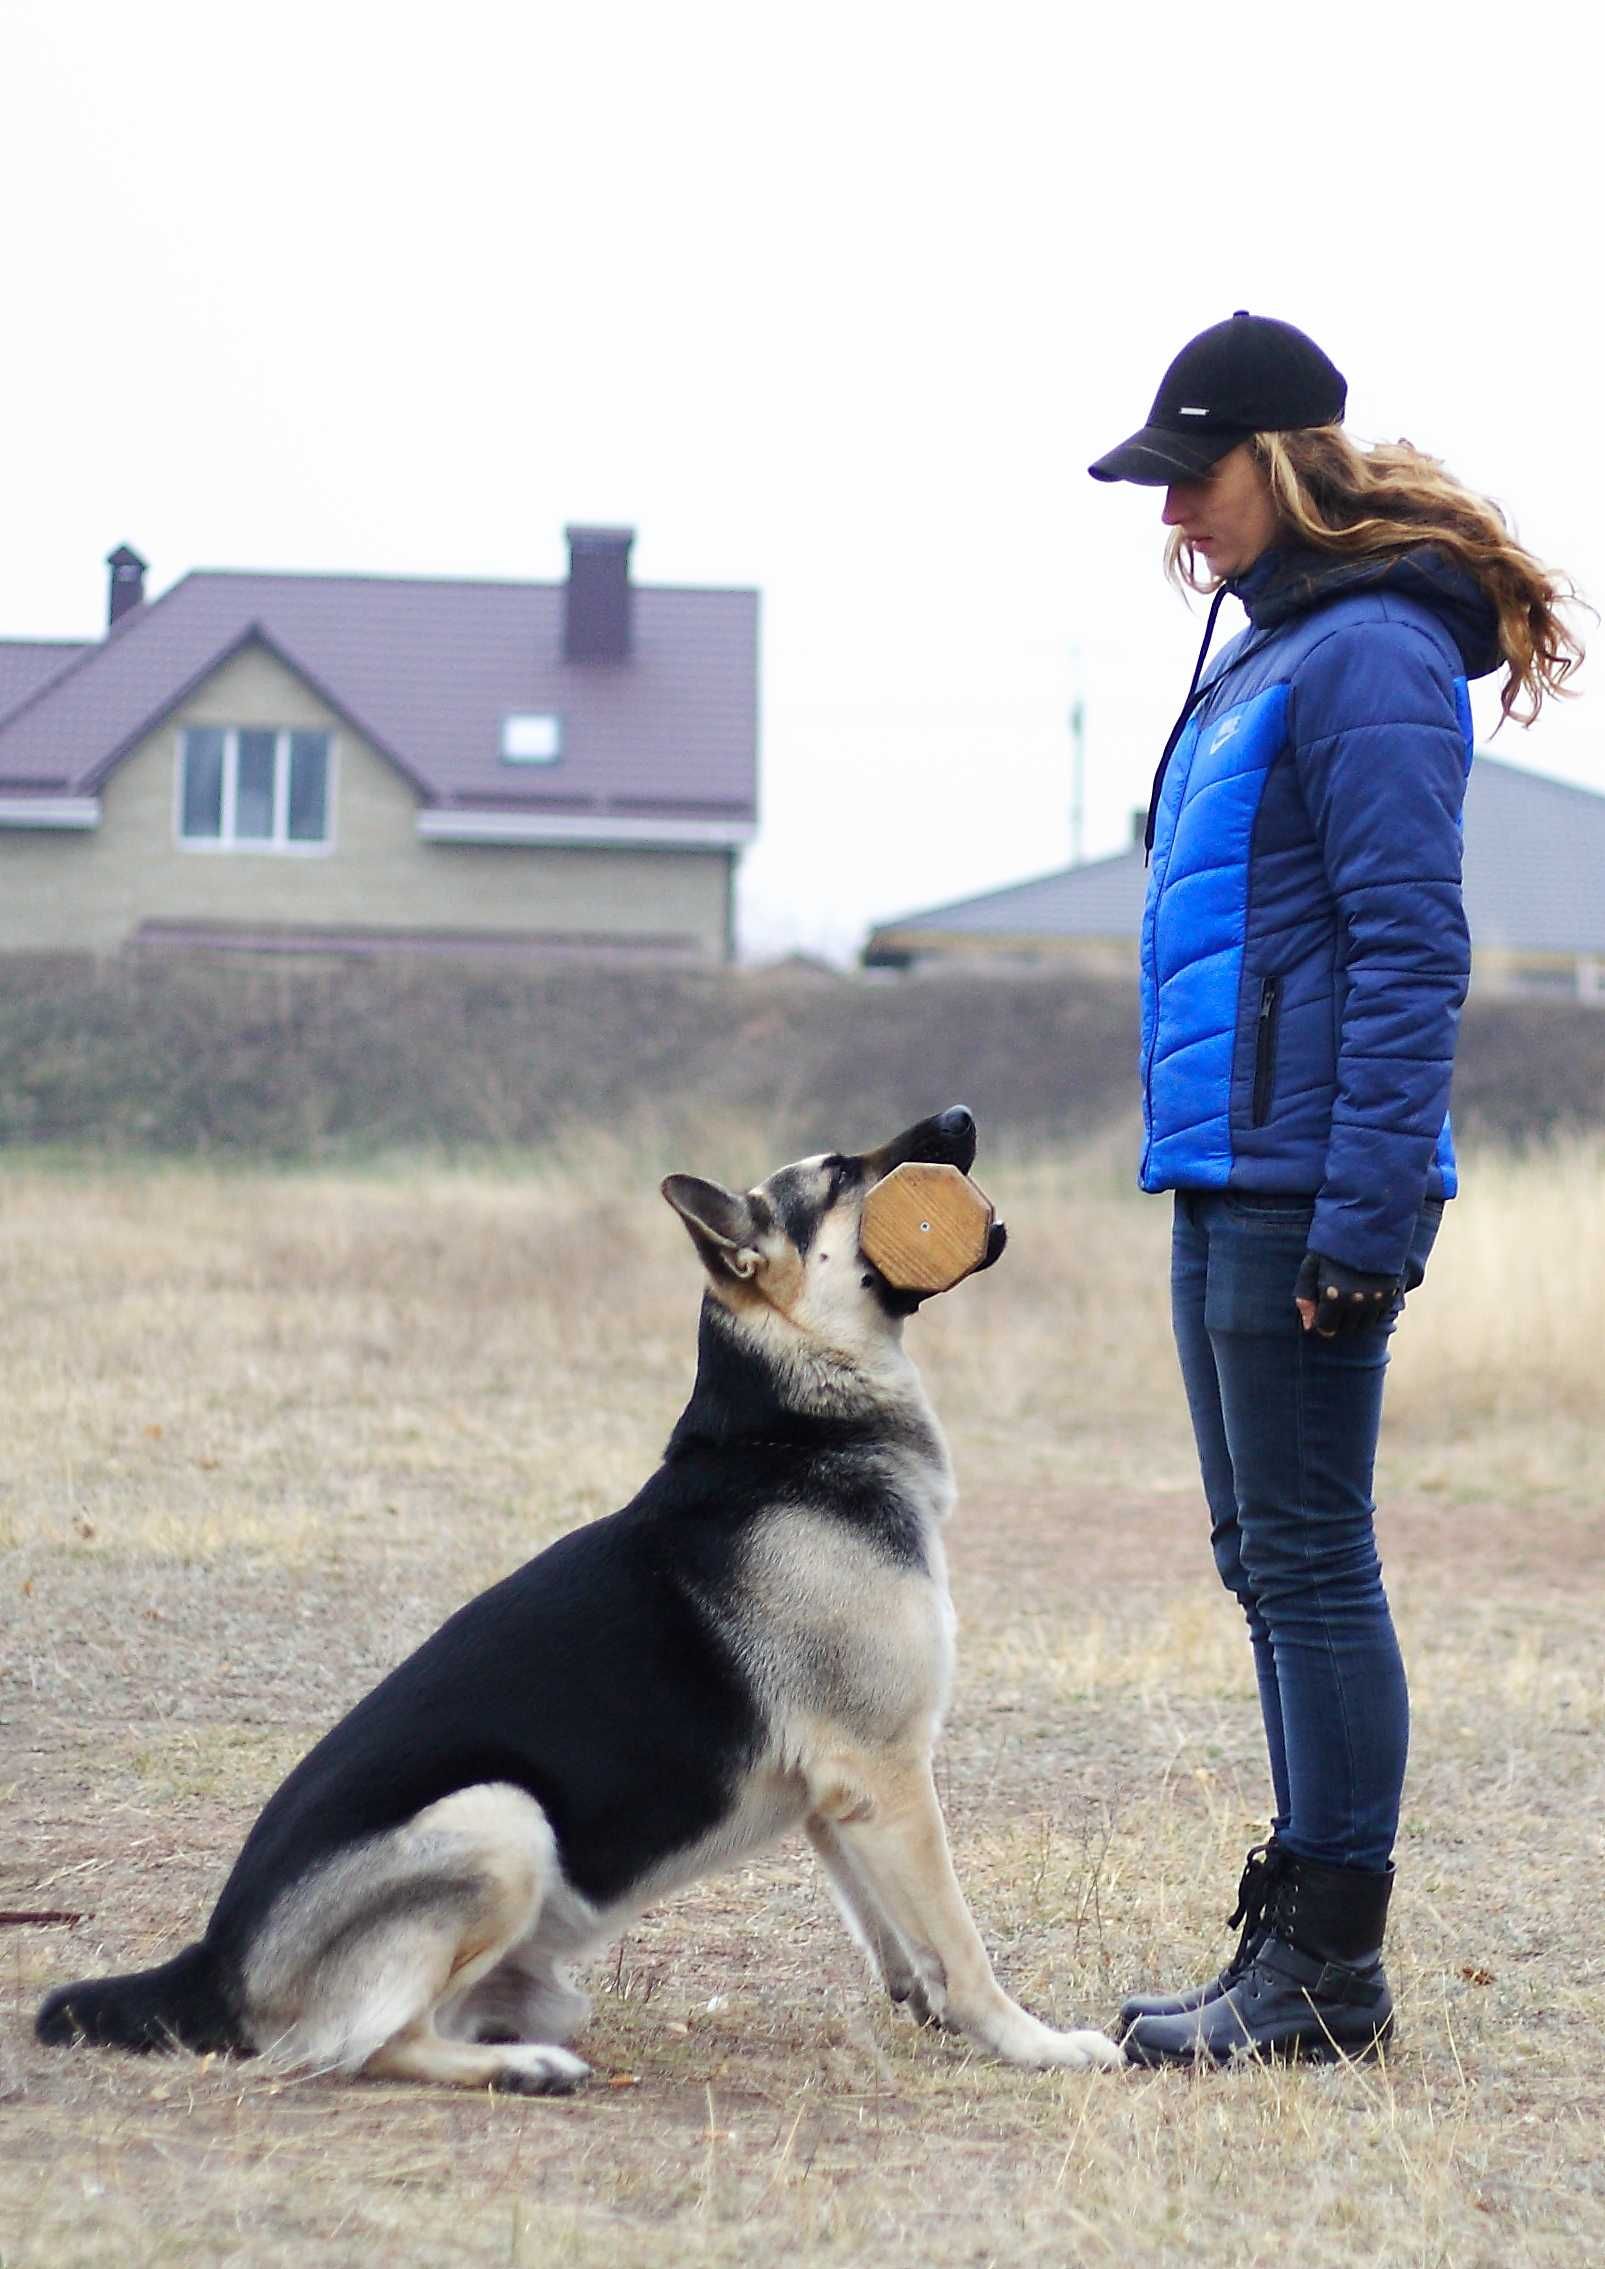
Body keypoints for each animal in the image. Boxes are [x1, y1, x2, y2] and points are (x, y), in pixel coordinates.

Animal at [34, 1102, 1116, 2087]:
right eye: (845, 1170)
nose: (963, 1114)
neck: (788, 1427)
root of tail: (211, 1964)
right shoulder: (888, 1773)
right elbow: (961, 1941)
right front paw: (1033, 2041)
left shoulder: (841, 1796)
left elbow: (896, 1930)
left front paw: (928, 2005)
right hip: (498, 1819)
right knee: (360, 2046)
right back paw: (522, 2067)